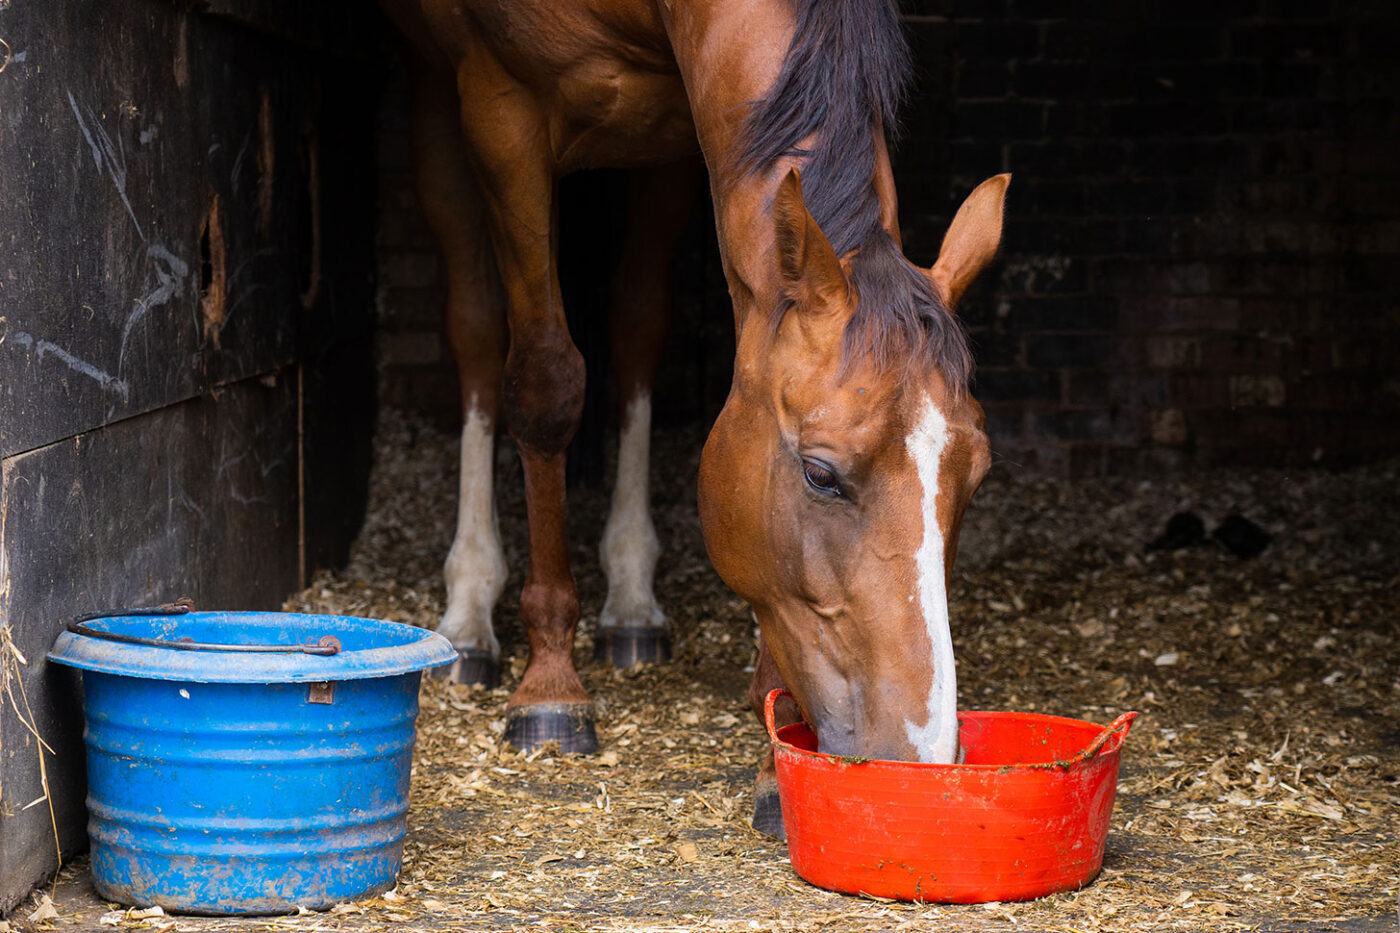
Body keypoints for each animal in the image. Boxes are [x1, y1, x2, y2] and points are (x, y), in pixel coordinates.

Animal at [378, 0, 1002, 829]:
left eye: (977, 478)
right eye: (820, 473)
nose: (919, 753)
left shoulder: (688, 143)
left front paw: (773, 748)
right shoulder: (500, 108)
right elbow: (545, 382)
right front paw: (551, 688)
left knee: (635, 322)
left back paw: (631, 601)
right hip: (437, 98)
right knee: (478, 330)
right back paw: (471, 604)